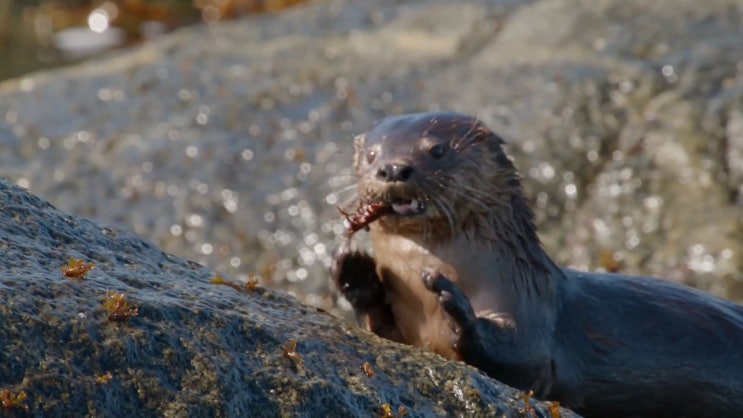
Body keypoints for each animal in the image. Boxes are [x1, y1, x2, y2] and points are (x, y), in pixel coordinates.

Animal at [334, 111, 743, 418]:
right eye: (371, 154)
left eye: (436, 149)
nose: (392, 168)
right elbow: (381, 329)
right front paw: (355, 274)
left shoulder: (533, 316)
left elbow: (523, 360)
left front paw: (458, 309)